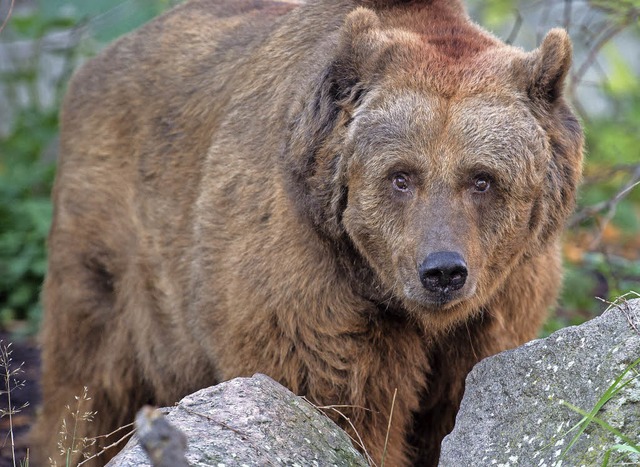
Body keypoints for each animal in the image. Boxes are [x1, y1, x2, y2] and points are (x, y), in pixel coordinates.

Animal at [33, 0, 584, 466]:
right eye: (401, 175)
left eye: (482, 179)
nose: (443, 270)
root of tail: (99, 60)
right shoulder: (307, 277)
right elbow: (337, 401)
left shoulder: (503, 301)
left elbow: (458, 404)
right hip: (113, 245)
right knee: (90, 383)